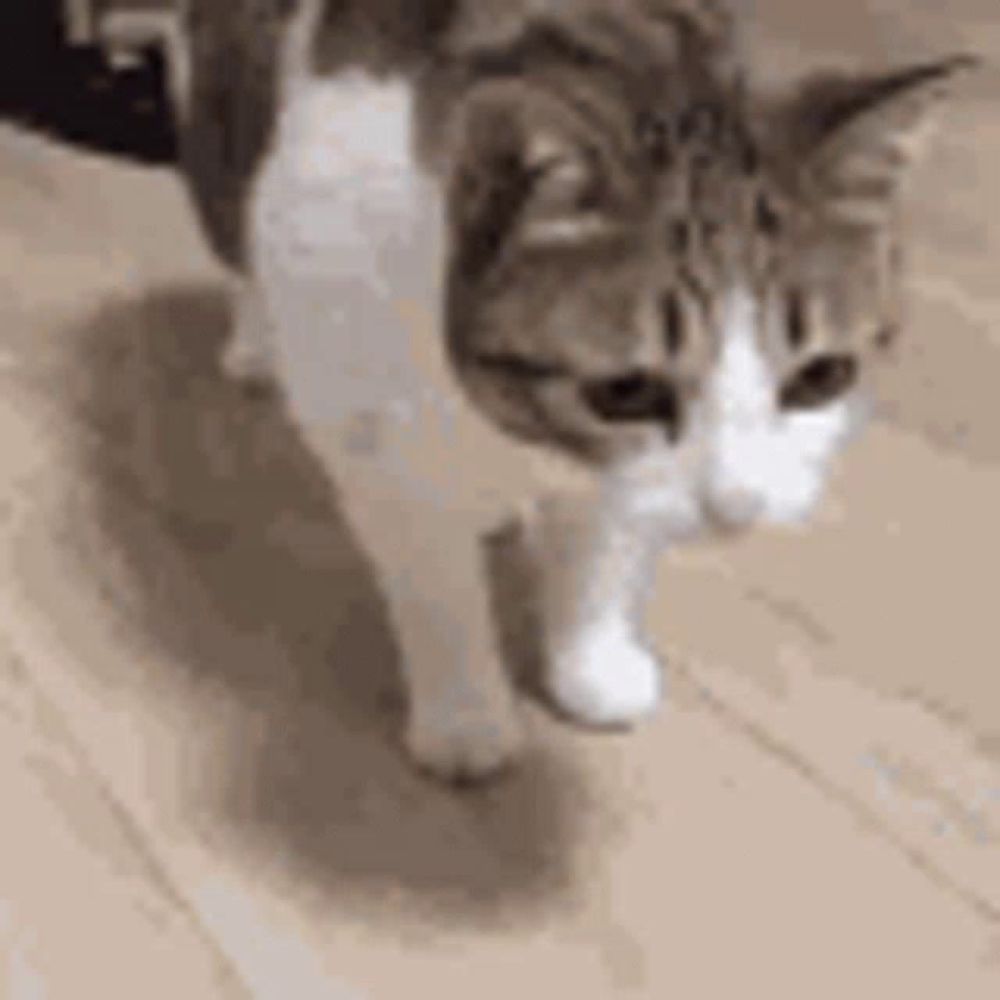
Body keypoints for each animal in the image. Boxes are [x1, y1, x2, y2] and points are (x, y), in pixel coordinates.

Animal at [176, 0, 972, 780]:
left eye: (821, 376)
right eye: (626, 391)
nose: (739, 507)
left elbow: (607, 538)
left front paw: (591, 662)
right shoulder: (355, 378)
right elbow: (429, 566)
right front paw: (464, 711)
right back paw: (254, 344)